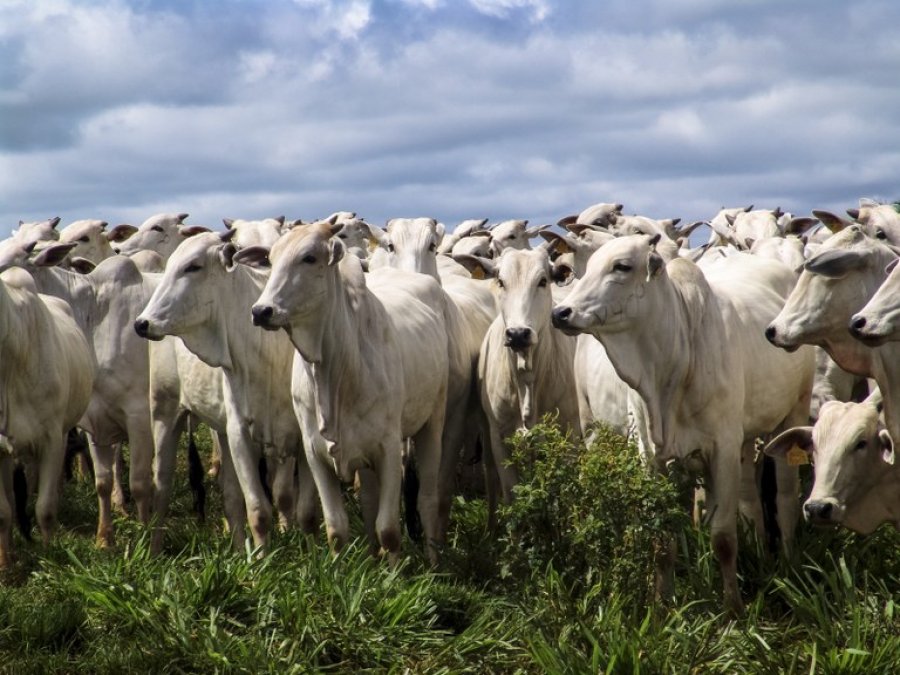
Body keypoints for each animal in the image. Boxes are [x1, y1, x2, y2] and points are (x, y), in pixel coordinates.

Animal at [134, 232, 316, 548]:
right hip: (165, 411)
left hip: (219, 429)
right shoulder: (240, 432)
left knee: (231, 497)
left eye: (193, 266)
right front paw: (263, 560)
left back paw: (239, 550)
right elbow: (258, 510)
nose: (142, 323)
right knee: (162, 487)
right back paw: (154, 550)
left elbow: (302, 509)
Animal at [246, 220, 450, 560]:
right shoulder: (314, 454)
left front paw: (395, 572)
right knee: (368, 502)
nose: (262, 311)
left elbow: (389, 530)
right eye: (271, 260)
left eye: (310, 257)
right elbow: (336, 529)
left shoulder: (389, 449)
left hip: (432, 421)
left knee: (429, 500)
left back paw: (434, 560)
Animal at [556, 235, 816, 616]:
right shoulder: (653, 457)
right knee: (751, 500)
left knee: (784, 499)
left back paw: (789, 563)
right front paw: (662, 606)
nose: (560, 313)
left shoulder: (722, 449)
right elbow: (662, 540)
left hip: (793, 412)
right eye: (586, 267)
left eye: (622, 266)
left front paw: (732, 609)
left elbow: (723, 537)